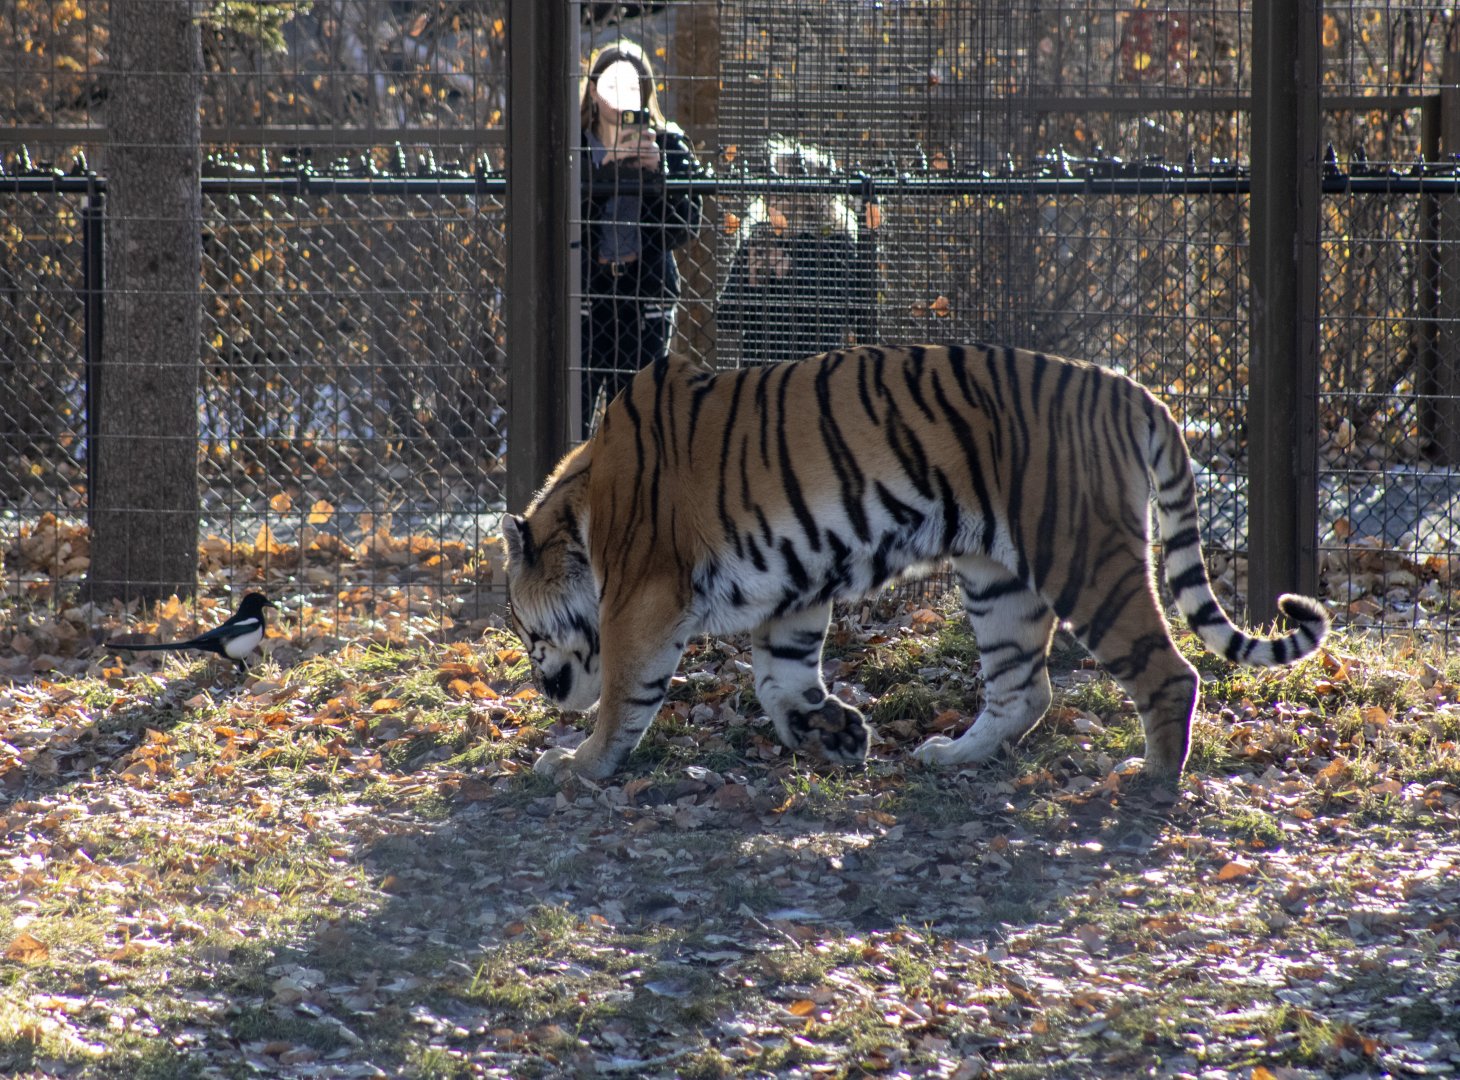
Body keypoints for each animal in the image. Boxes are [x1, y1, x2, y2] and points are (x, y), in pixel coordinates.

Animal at [501, 345, 1329, 784]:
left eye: (523, 630)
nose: (543, 690)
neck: (584, 507)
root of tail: (1129, 388)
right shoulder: (792, 589)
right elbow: (779, 679)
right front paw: (836, 734)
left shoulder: (643, 597)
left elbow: (624, 693)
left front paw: (577, 763)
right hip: (998, 581)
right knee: (1024, 689)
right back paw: (955, 754)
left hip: (1083, 555)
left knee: (1168, 671)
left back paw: (1150, 776)